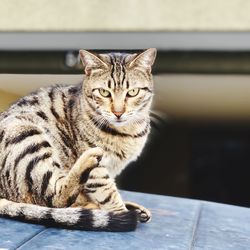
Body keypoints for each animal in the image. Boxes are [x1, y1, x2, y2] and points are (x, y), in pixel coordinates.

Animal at [0, 47, 156, 231]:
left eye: (132, 92)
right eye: (104, 92)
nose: (118, 113)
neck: (127, 131)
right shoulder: (98, 173)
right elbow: (108, 193)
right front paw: (120, 211)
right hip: (25, 135)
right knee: (54, 198)